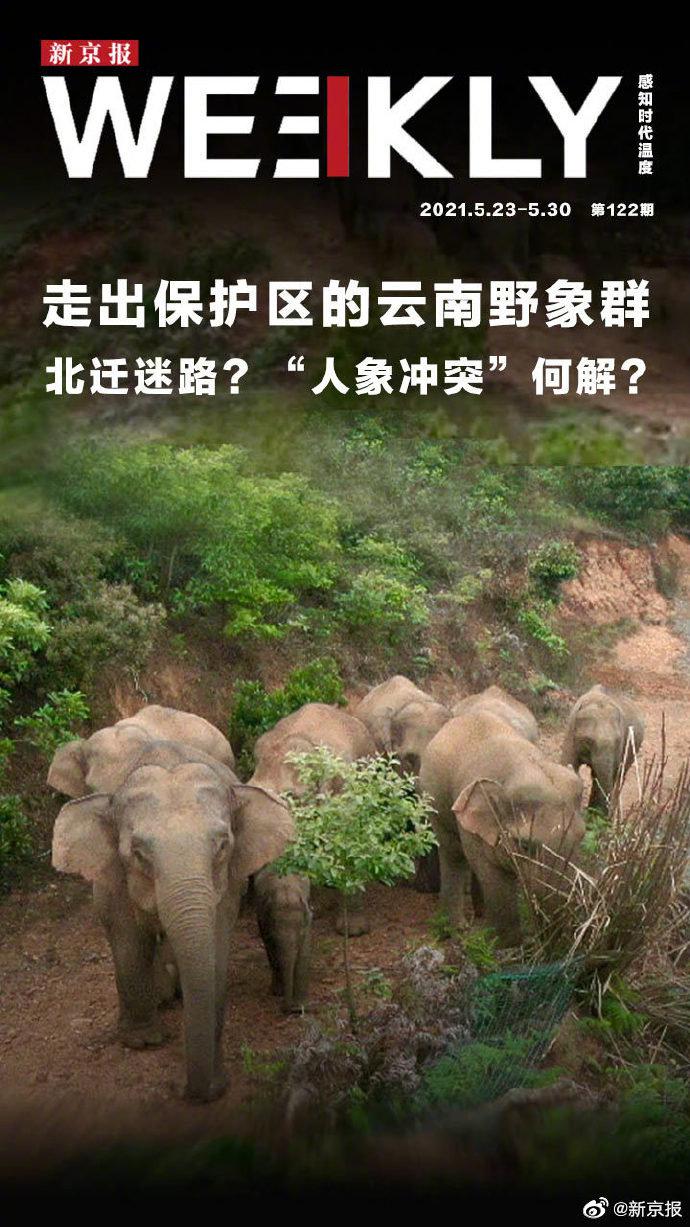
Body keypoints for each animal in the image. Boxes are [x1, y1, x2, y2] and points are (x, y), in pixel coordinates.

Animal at [51, 737, 293, 1102]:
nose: (181, 1088)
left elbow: (215, 947)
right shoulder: (113, 878)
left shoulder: (228, 884)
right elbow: (128, 940)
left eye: (223, 846)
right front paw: (142, 1042)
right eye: (138, 853)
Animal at [254, 866, 311, 1014]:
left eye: (300, 933)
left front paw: (301, 1002)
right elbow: (271, 949)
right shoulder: (264, 921)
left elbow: (303, 951)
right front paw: (277, 993)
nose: (294, 1009)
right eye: (275, 935)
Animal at [419, 712, 584, 945]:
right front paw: (503, 943)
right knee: (453, 855)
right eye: (524, 845)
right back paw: (457, 929)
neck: (523, 767)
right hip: (433, 798)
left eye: (582, 836)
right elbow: (492, 874)